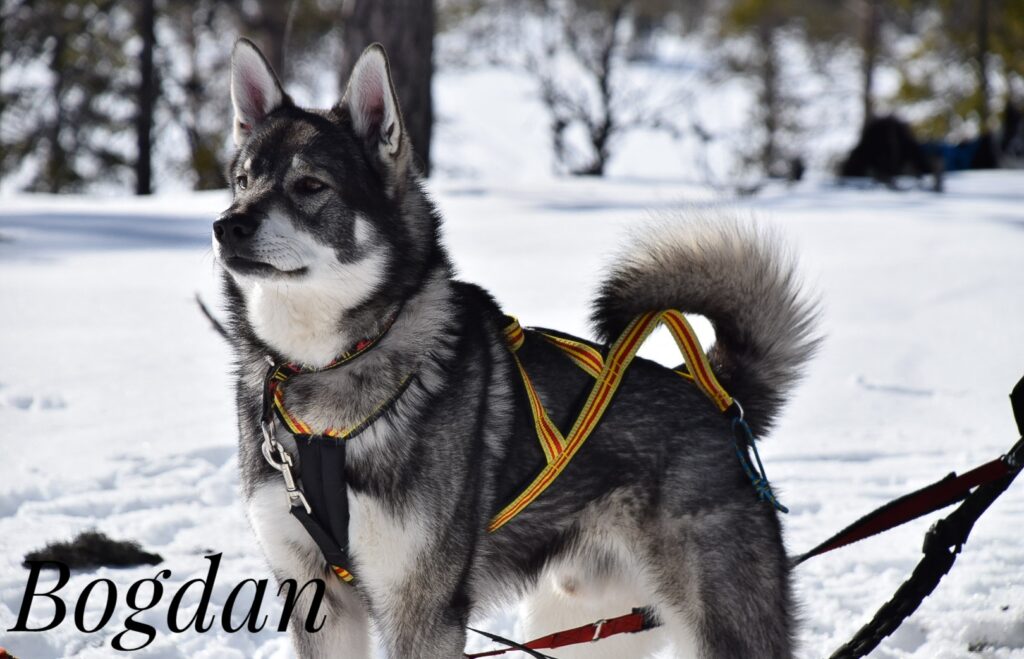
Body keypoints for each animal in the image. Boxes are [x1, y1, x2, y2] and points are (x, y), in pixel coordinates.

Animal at [214, 39, 815, 659]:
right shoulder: (318, 597)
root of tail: (716, 395)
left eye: (310, 186)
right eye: (242, 180)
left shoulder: (421, 609)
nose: (226, 226)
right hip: (584, 624)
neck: (330, 365)